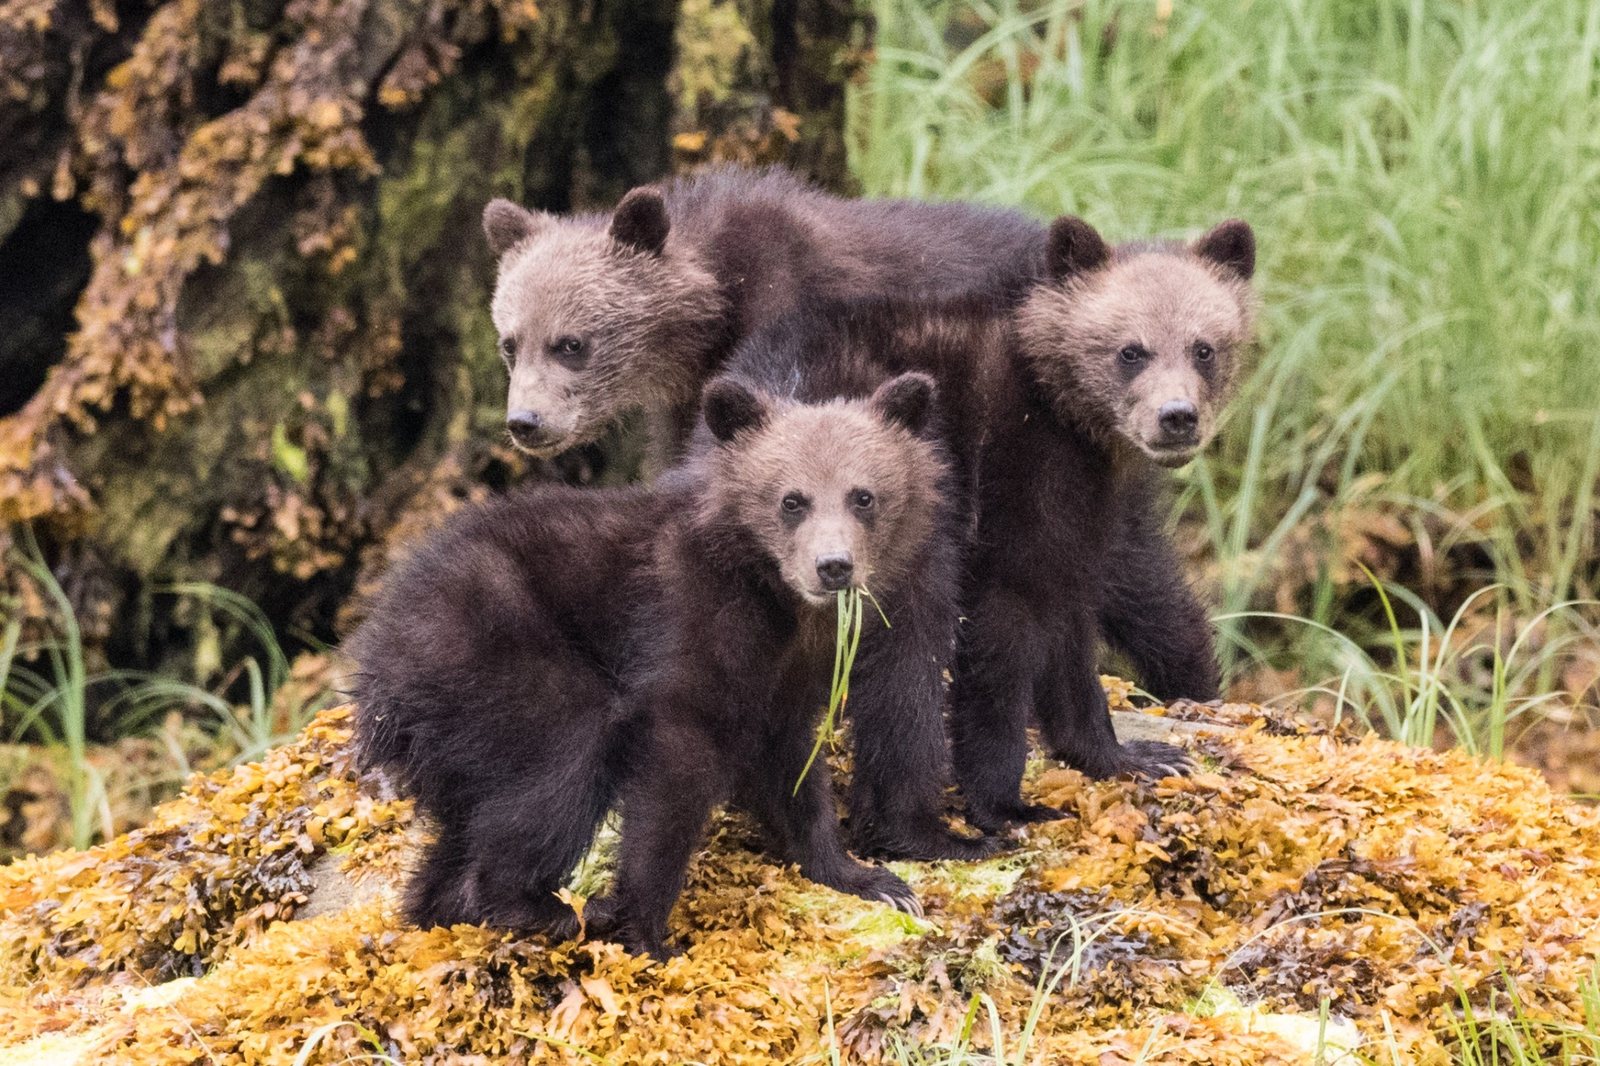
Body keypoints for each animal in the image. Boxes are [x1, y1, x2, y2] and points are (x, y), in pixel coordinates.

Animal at [350, 371, 957, 959]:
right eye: (792, 500)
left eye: (863, 496)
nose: (833, 566)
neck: (770, 595)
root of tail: (376, 663)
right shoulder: (688, 624)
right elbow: (674, 768)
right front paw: (647, 930)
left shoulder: (786, 676)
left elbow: (792, 765)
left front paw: (871, 878)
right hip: (486, 645)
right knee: (563, 751)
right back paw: (539, 905)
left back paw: (445, 906)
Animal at [713, 215, 1257, 832]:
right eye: (1130, 351)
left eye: (1204, 348)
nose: (1176, 417)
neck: (1063, 411)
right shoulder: (1015, 481)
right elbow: (1006, 628)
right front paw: (1003, 797)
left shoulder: (1076, 514)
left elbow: (1072, 618)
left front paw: (1131, 754)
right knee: (909, 651)